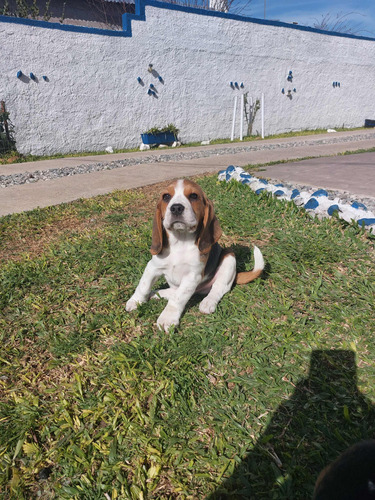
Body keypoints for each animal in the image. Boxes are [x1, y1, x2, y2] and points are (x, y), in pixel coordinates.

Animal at [126, 180, 264, 332]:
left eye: (193, 196)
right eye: (166, 196)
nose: (176, 208)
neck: (180, 241)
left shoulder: (192, 276)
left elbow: (178, 298)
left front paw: (167, 318)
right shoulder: (153, 267)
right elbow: (143, 285)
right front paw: (136, 300)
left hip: (229, 257)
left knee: (219, 288)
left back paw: (208, 302)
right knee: (175, 291)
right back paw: (156, 293)